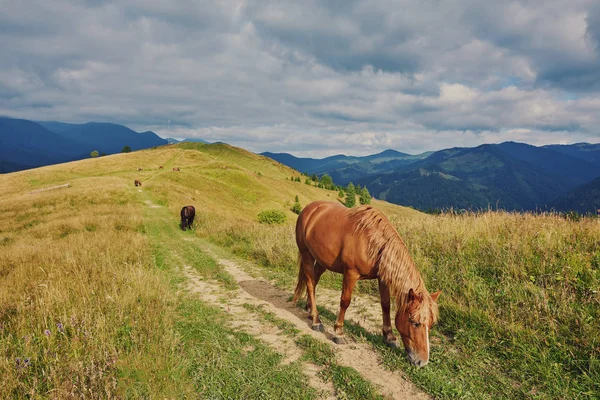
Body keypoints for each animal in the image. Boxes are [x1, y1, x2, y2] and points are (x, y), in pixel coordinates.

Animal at [294, 202, 440, 368]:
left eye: (430, 324)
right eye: (415, 323)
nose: (422, 362)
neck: (372, 242)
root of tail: (309, 209)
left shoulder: (383, 277)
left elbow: (385, 305)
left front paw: (389, 337)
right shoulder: (351, 274)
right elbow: (345, 301)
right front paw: (339, 332)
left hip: (322, 260)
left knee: (314, 280)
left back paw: (310, 310)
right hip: (306, 254)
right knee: (310, 284)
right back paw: (316, 320)